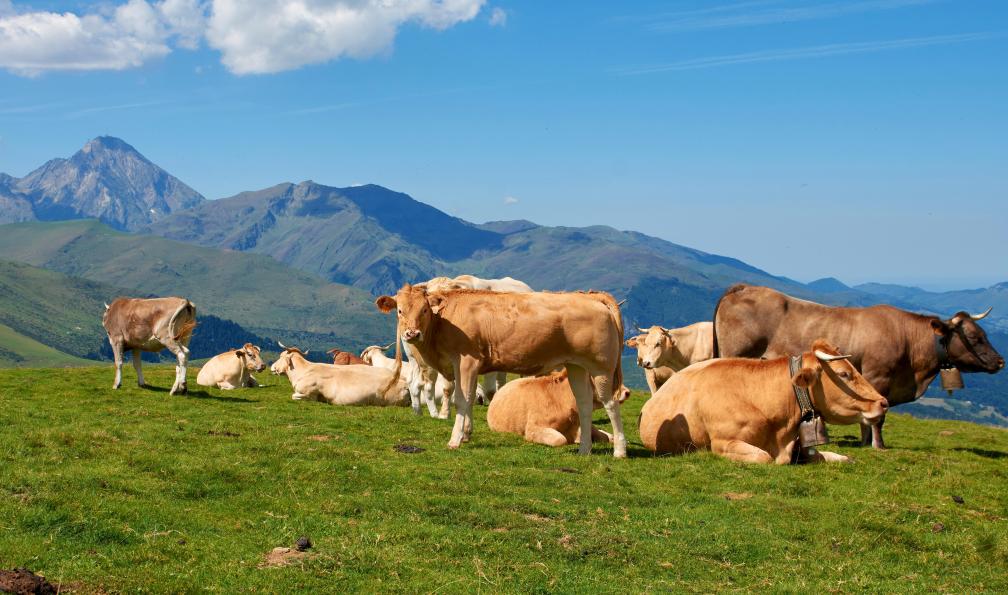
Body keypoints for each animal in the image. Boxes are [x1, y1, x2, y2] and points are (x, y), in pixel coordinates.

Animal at [639, 339, 890, 463]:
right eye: (844, 374)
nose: (883, 403)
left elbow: (834, 457)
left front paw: (843, 457)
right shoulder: (723, 442)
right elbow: (763, 457)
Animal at [712, 284, 1004, 448]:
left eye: (983, 334)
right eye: (975, 338)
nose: (1001, 361)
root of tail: (742, 287)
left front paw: (865, 441)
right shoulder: (879, 376)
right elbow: (880, 415)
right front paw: (877, 445)